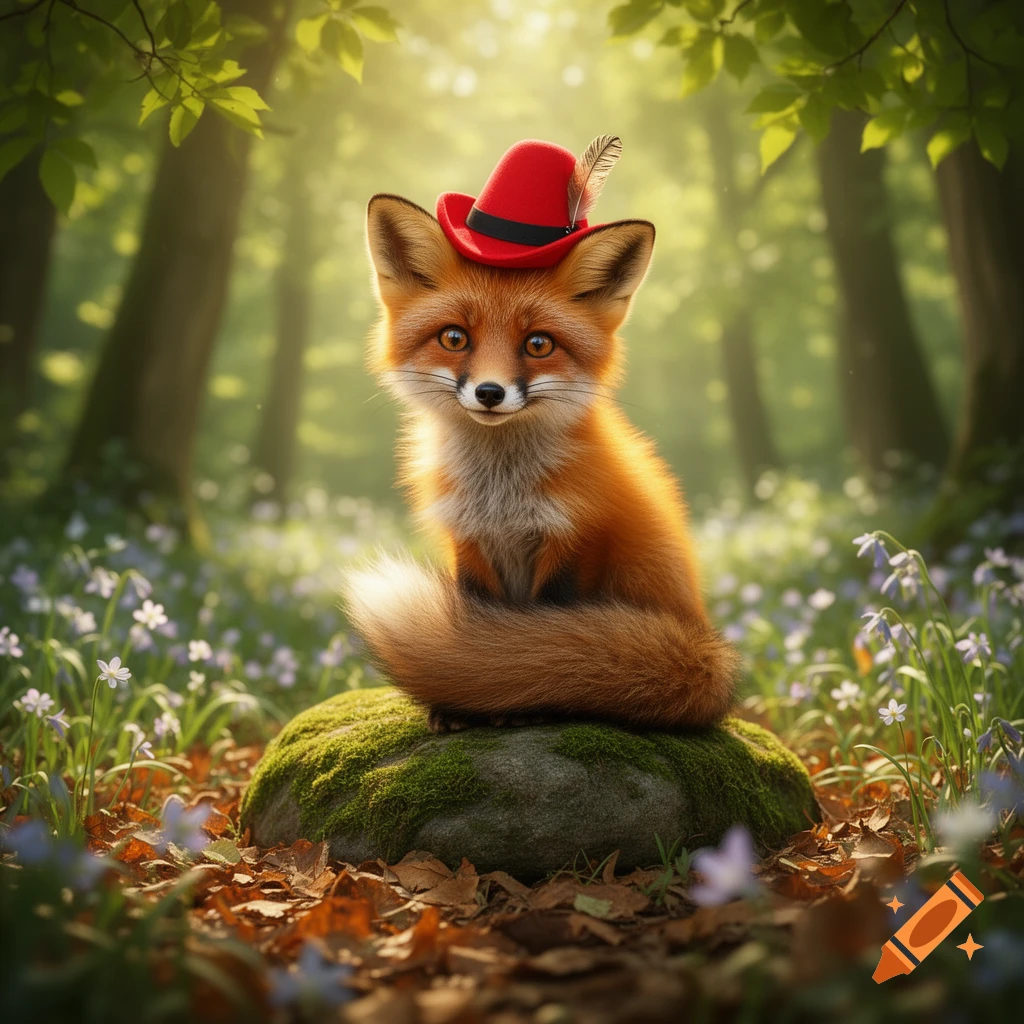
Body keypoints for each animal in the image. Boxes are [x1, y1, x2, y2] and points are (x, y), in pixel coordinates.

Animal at [342, 191, 739, 733]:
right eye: (454, 338)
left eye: (538, 344)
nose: (490, 393)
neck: (502, 495)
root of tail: (708, 653)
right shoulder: (468, 538)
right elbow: (476, 640)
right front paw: (463, 699)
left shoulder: (577, 536)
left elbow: (540, 637)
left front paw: (529, 699)